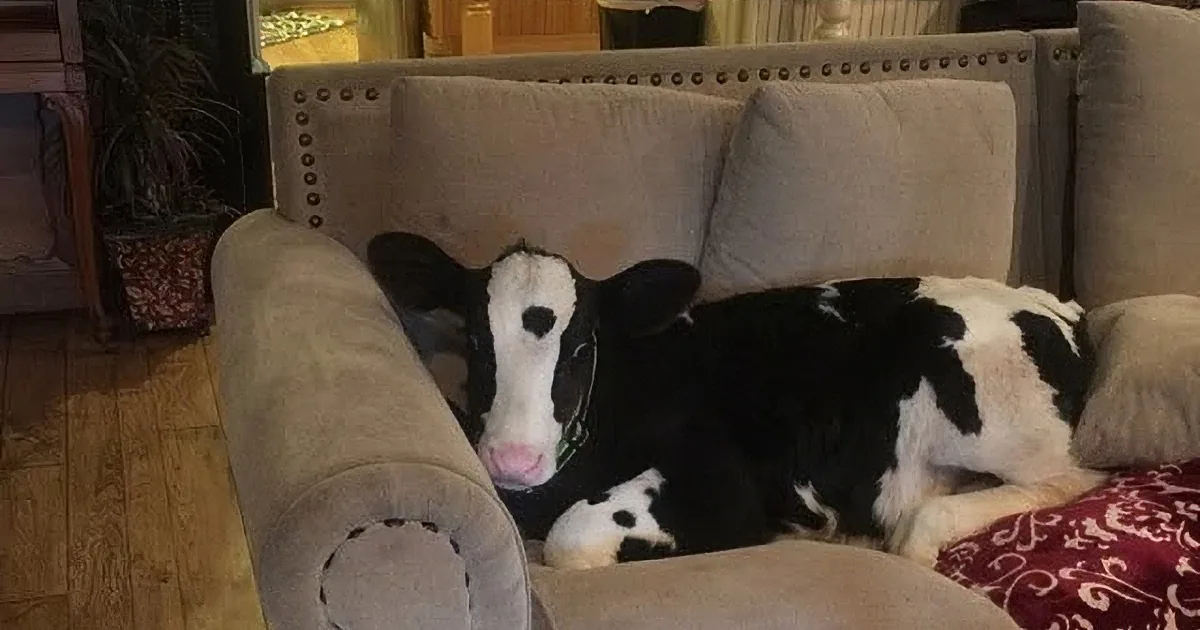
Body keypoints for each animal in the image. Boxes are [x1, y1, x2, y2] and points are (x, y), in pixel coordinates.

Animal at [367, 231, 1107, 571]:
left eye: (580, 346)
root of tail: (1058, 305)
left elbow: (573, 537)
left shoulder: (725, 487)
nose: (512, 460)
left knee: (1071, 477)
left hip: (988, 412)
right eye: (474, 338)